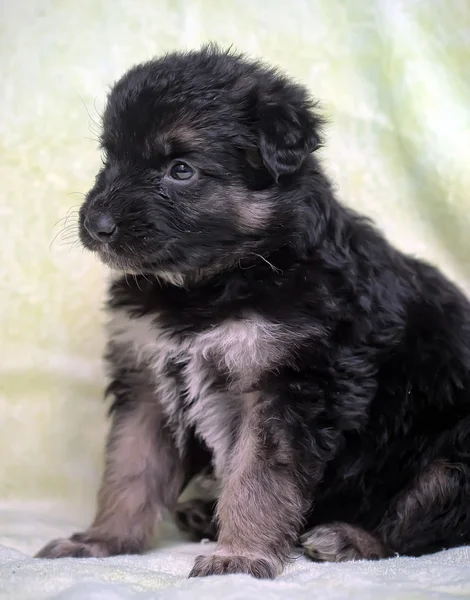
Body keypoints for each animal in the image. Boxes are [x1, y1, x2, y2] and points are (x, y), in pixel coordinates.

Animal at [35, 44, 470, 580]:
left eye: (181, 169)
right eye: (110, 157)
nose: (96, 225)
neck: (215, 281)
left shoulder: (287, 387)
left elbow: (259, 478)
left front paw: (240, 554)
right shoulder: (147, 384)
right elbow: (130, 469)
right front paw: (104, 541)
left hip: (451, 458)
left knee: (422, 526)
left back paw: (347, 538)